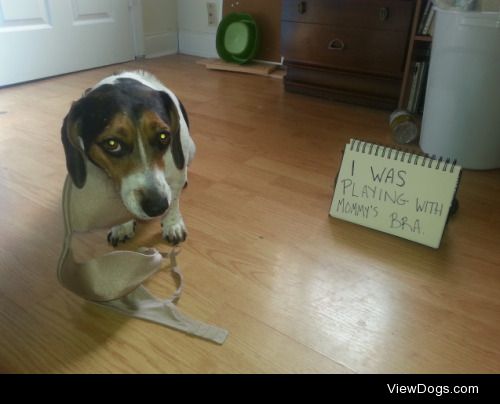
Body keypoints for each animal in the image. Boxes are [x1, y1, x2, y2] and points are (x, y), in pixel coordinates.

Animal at [60, 70, 195, 243]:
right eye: (112, 144)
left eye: (163, 136)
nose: (158, 207)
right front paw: (122, 226)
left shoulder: (176, 173)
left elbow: (174, 202)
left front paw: (173, 224)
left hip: (191, 149)